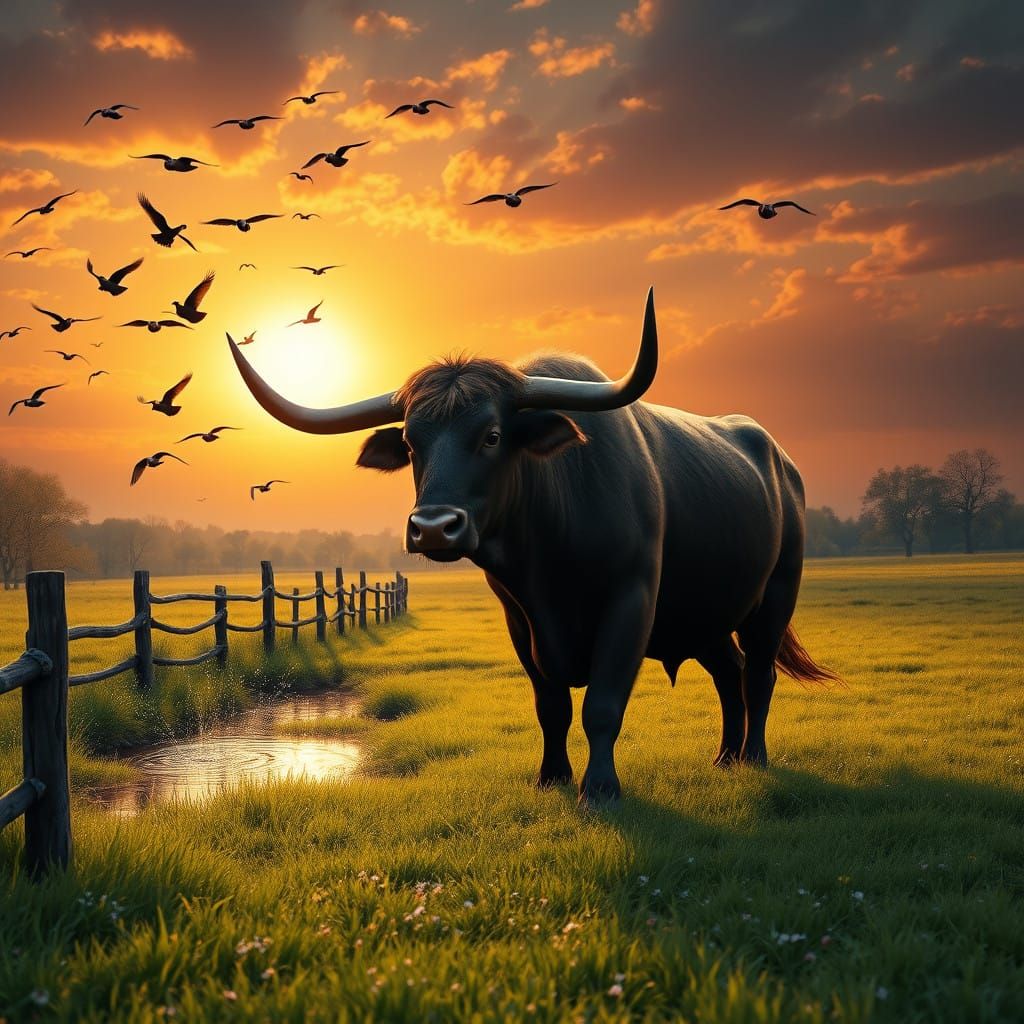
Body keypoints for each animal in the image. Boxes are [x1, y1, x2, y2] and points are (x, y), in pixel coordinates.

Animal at [227, 288, 836, 802]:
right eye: (411, 442)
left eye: (493, 436)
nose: (432, 528)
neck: (550, 558)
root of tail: (780, 460)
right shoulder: (520, 617)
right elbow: (552, 706)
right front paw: (552, 777)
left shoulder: (632, 599)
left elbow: (602, 704)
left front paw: (600, 788)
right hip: (703, 615)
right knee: (729, 671)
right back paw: (725, 758)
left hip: (775, 597)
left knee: (758, 673)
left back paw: (753, 757)